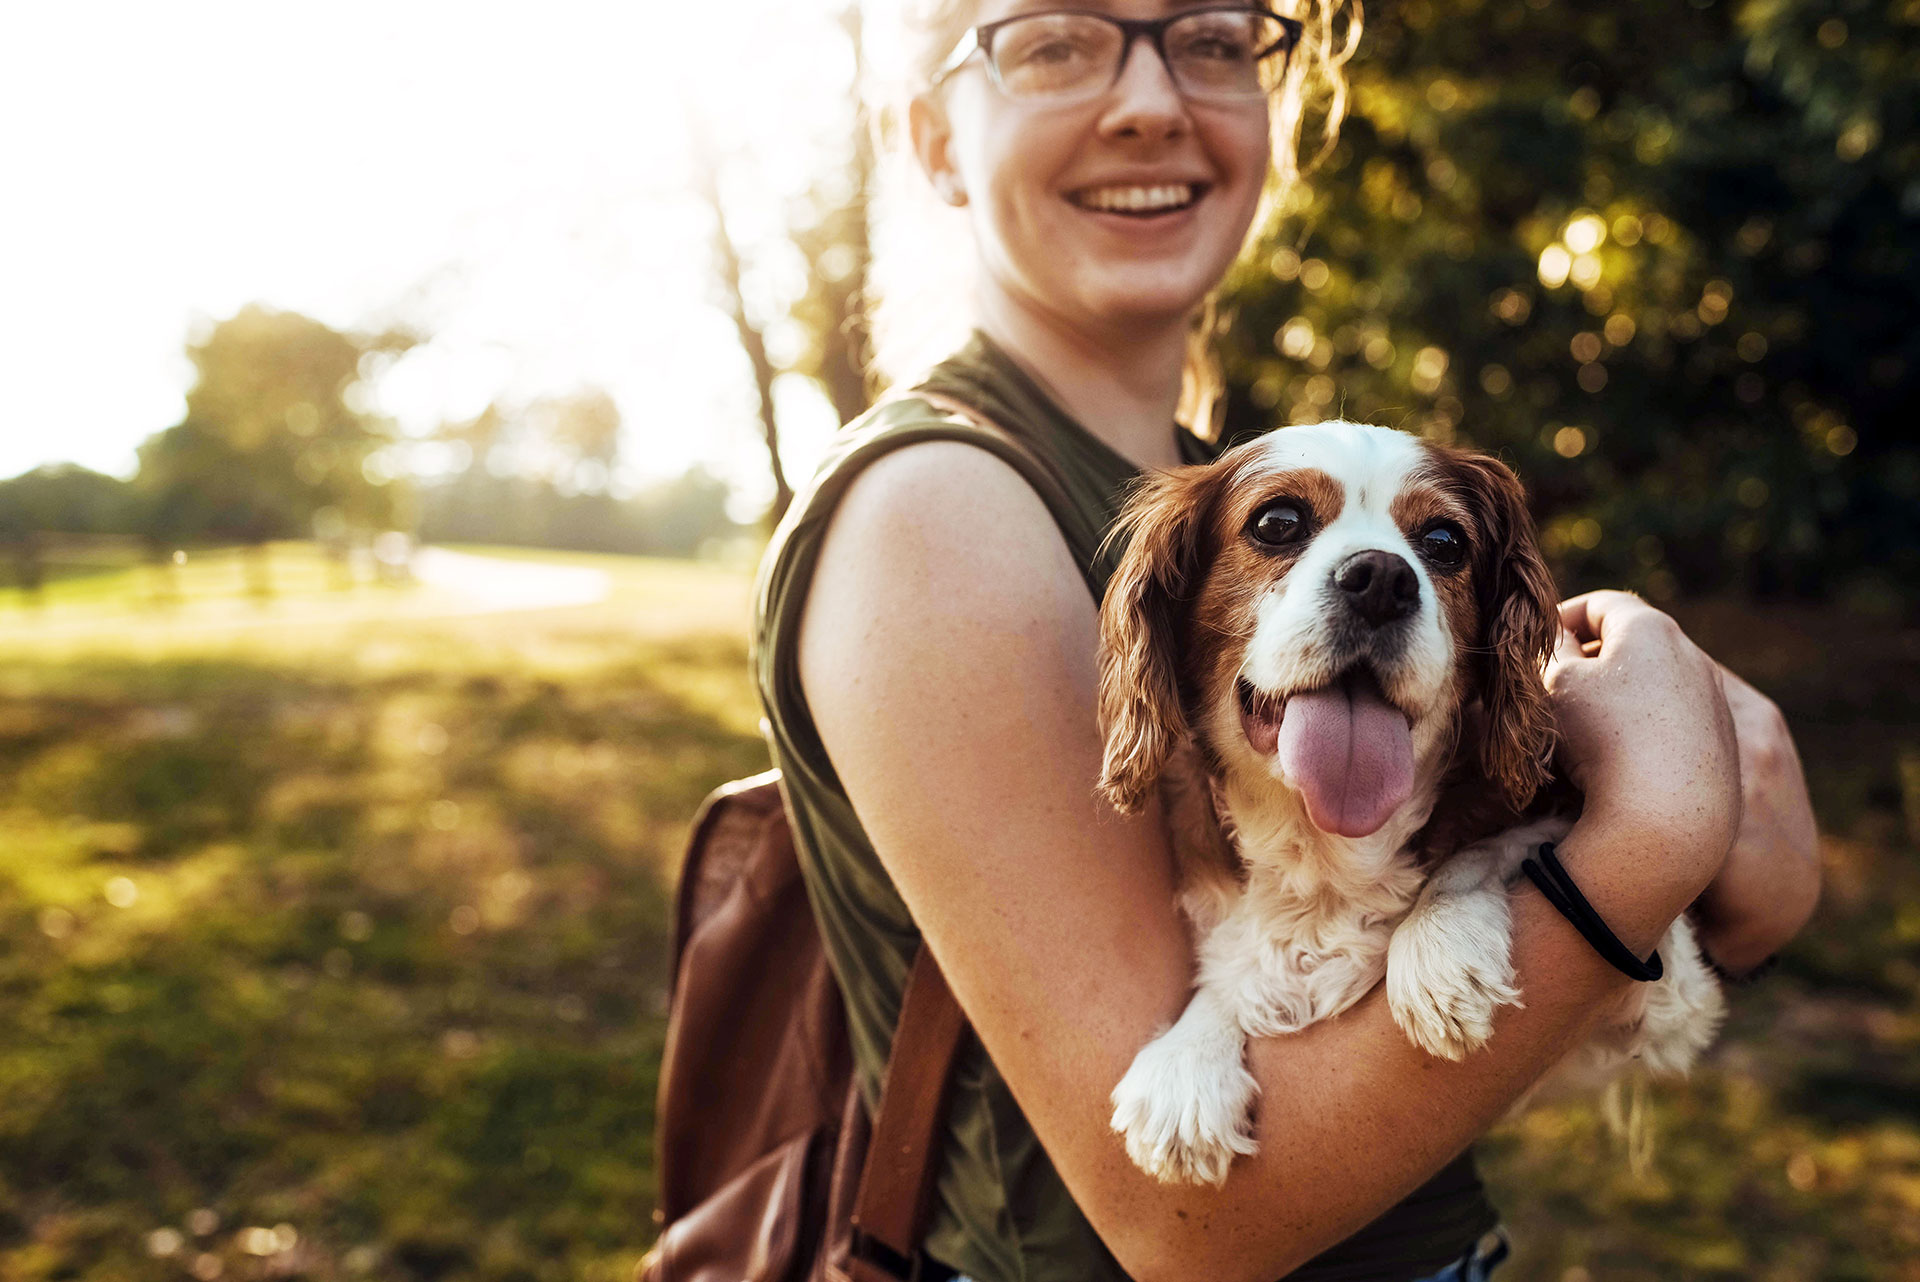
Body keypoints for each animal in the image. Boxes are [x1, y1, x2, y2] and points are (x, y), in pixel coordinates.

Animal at [1098, 426, 1728, 1189]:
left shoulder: (1669, 1005)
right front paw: (1188, 1061)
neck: (1328, 850)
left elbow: (1494, 846)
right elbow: (1236, 964)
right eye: (1277, 523)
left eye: (1445, 540)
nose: (1381, 578)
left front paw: (1439, 947)